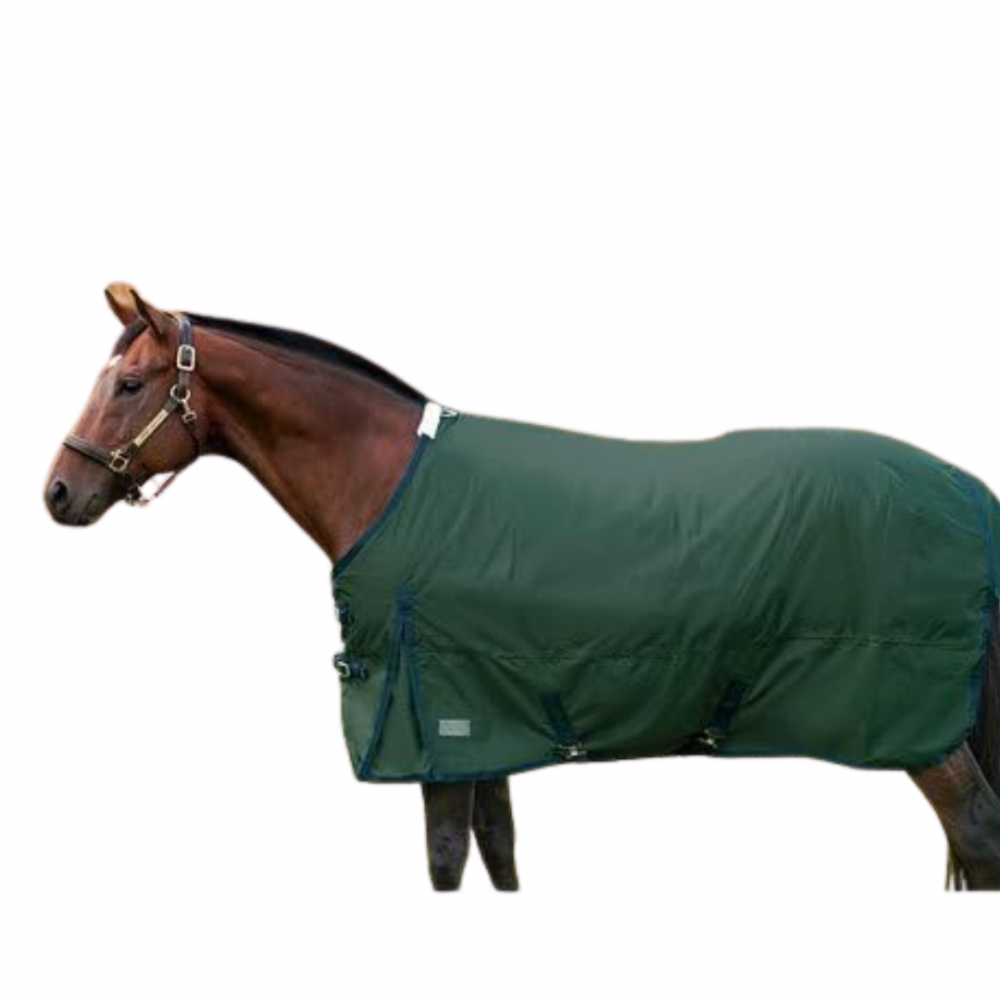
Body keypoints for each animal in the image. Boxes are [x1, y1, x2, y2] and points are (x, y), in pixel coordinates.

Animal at [45, 284, 1000, 890]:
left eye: (129, 384)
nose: (57, 492)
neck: (389, 484)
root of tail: (967, 492)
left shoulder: (431, 725)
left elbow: (443, 858)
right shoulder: (484, 727)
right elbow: (496, 855)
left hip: (920, 726)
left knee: (978, 832)